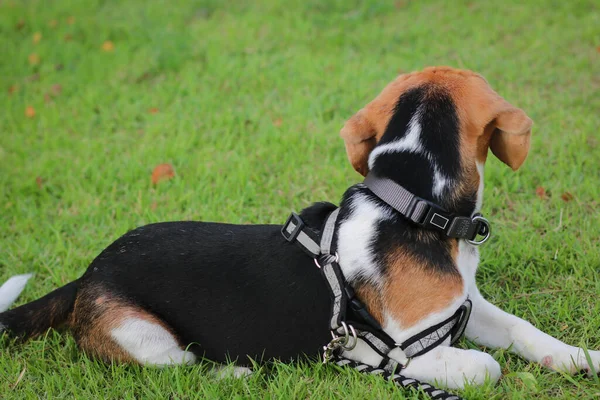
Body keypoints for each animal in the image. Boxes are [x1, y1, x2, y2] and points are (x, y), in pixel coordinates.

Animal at [0, 67, 596, 390]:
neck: (411, 207)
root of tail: (87, 274)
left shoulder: (465, 305)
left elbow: (522, 329)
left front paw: (577, 358)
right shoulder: (395, 351)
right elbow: (485, 368)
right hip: (145, 339)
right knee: (179, 370)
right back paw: (234, 374)